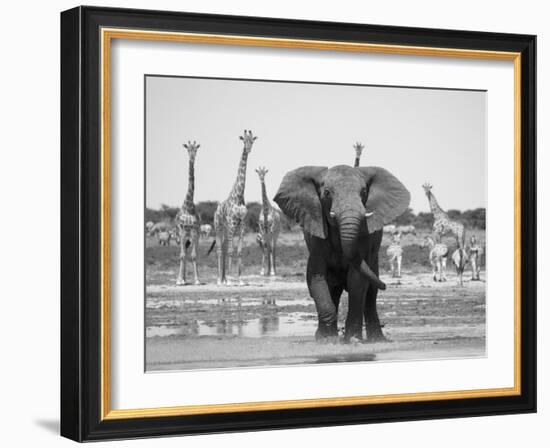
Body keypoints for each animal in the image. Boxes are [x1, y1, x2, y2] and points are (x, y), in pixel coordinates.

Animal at [215, 130, 260, 286]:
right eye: (243, 140)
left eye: (252, 140)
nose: (248, 149)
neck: (239, 195)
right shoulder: (232, 223)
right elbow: (230, 251)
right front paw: (229, 279)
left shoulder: (242, 225)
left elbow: (239, 251)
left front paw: (239, 280)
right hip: (219, 227)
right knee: (220, 249)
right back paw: (220, 279)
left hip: (226, 229)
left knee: (223, 248)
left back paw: (223, 278)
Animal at [274, 164, 410, 344]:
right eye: (327, 193)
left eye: (364, 192)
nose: (387, 285)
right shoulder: (317, 236)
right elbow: (316, 276)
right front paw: (326, 340)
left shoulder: (364, 237)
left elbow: (357, 280)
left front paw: (352, 340)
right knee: (334, 290)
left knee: (370, 294)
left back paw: (377, 339)